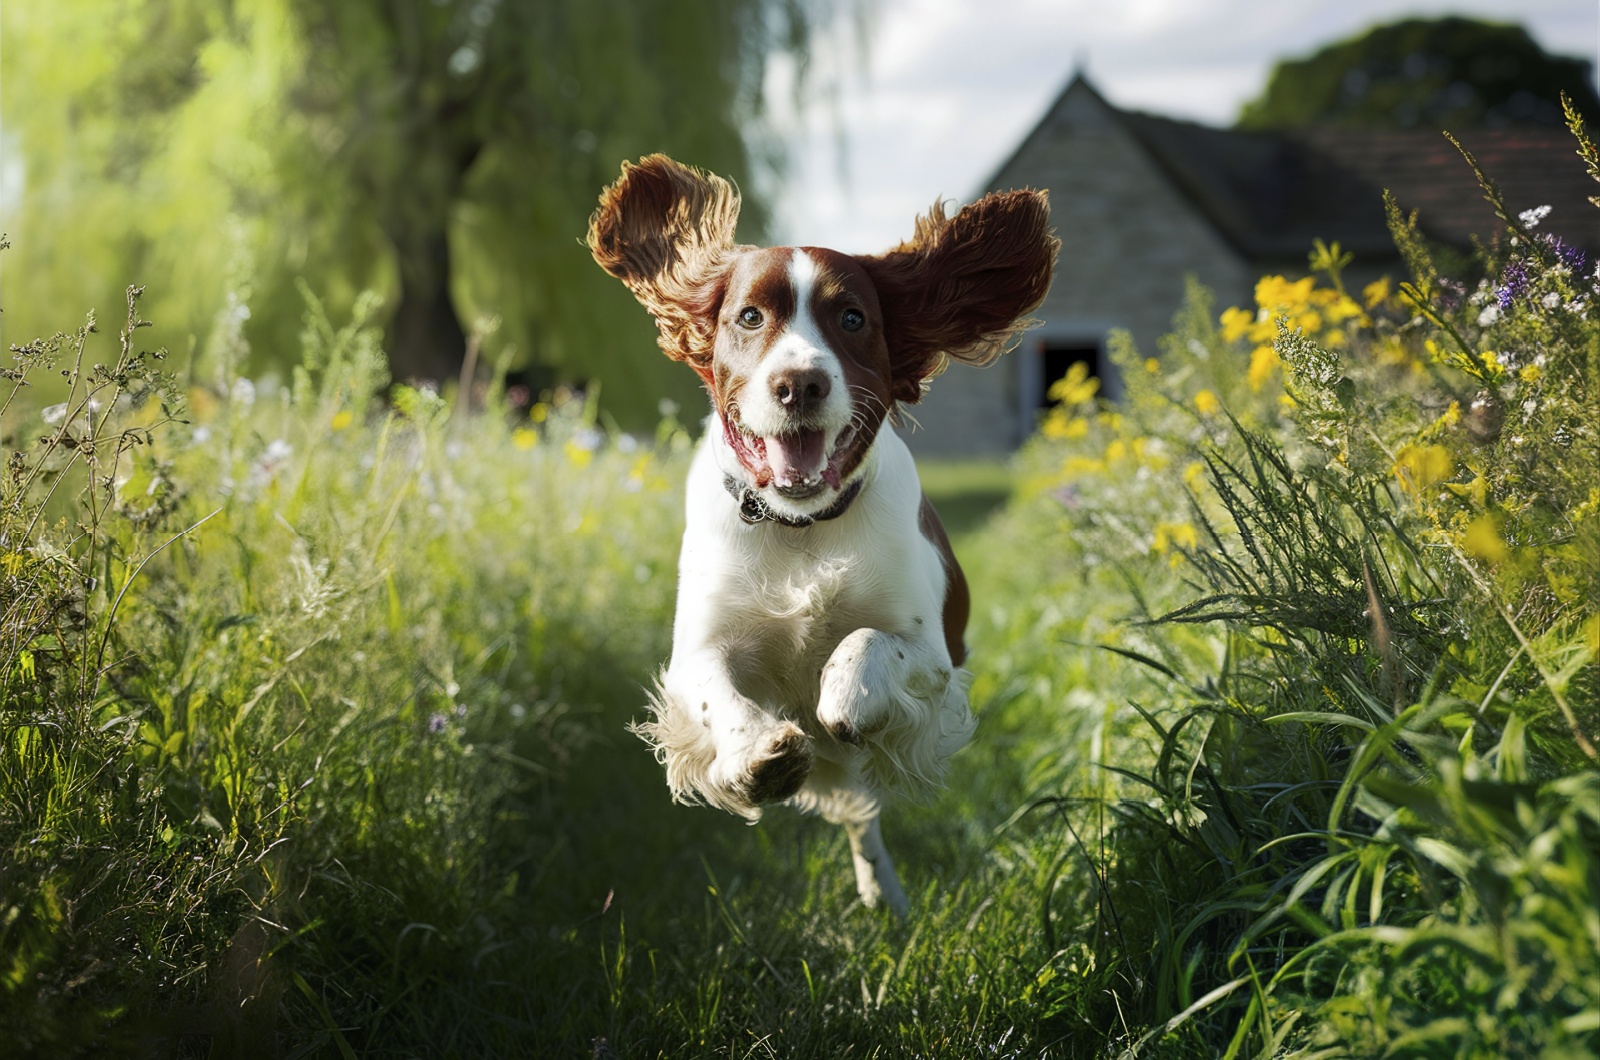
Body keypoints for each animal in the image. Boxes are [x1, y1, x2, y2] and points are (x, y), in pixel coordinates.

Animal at [588, 153, 1062, 915]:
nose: (799, 384)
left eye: (852, 317)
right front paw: (759, 756)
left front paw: (842, 698)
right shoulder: (698, 650)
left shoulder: (936, 654)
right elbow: (717, 693)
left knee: (865, 812)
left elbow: (865, 645)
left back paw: (885, 893)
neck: (800, 529)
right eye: (749, 316)